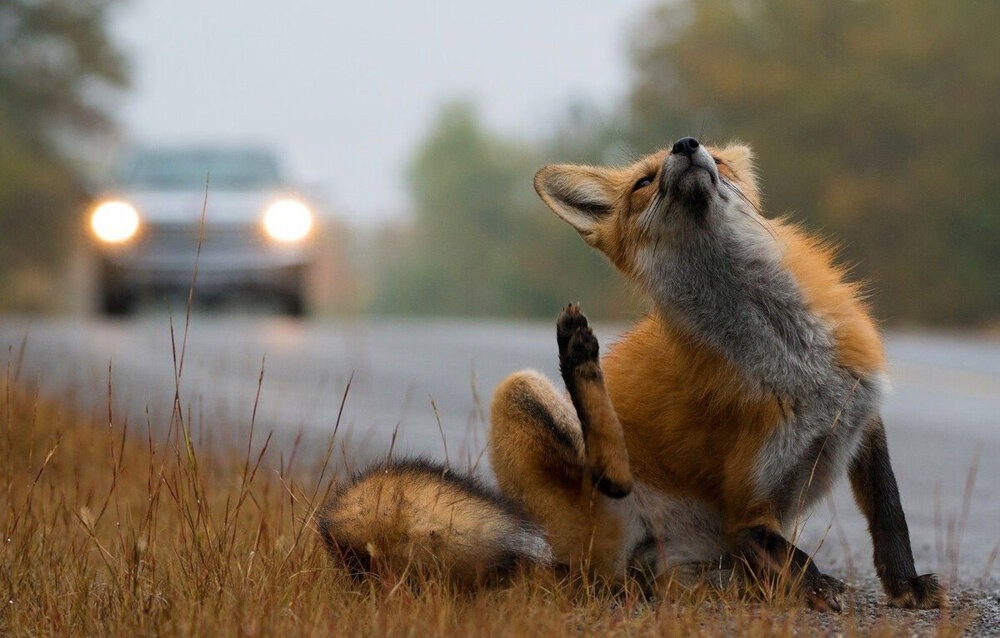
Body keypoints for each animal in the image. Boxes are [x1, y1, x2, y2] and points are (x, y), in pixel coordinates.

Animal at [320, 139, 944, 608]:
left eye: (719, 161)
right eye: (644, 182)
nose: (686, 145)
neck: (790, 355)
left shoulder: (862, 413)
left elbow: (890, 514)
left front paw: (906, 586)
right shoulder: (747, 503)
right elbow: (789, 551)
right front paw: (820, 586)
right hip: (522, 396)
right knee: (602, 472)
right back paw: (580, 362)